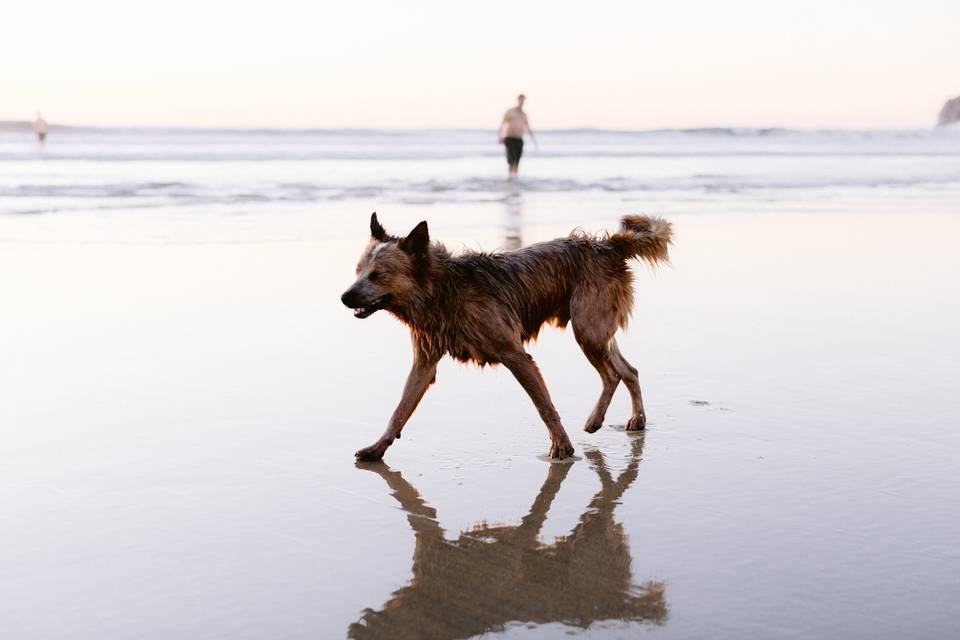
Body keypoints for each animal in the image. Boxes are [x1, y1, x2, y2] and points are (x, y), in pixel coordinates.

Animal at [342, 214, 672, 460]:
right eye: (358, 271)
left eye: (378, 275)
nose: (344, 297)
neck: (442, 289)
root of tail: (609, 245)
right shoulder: (423, 365)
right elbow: (399, 412)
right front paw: (377, 448)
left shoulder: (516, 355)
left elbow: (544, 407)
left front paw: (562, 447)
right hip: (597, 331)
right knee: (628, 370)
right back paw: (634, 419)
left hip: (588, 330)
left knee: (612, 374)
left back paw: (601, 419)